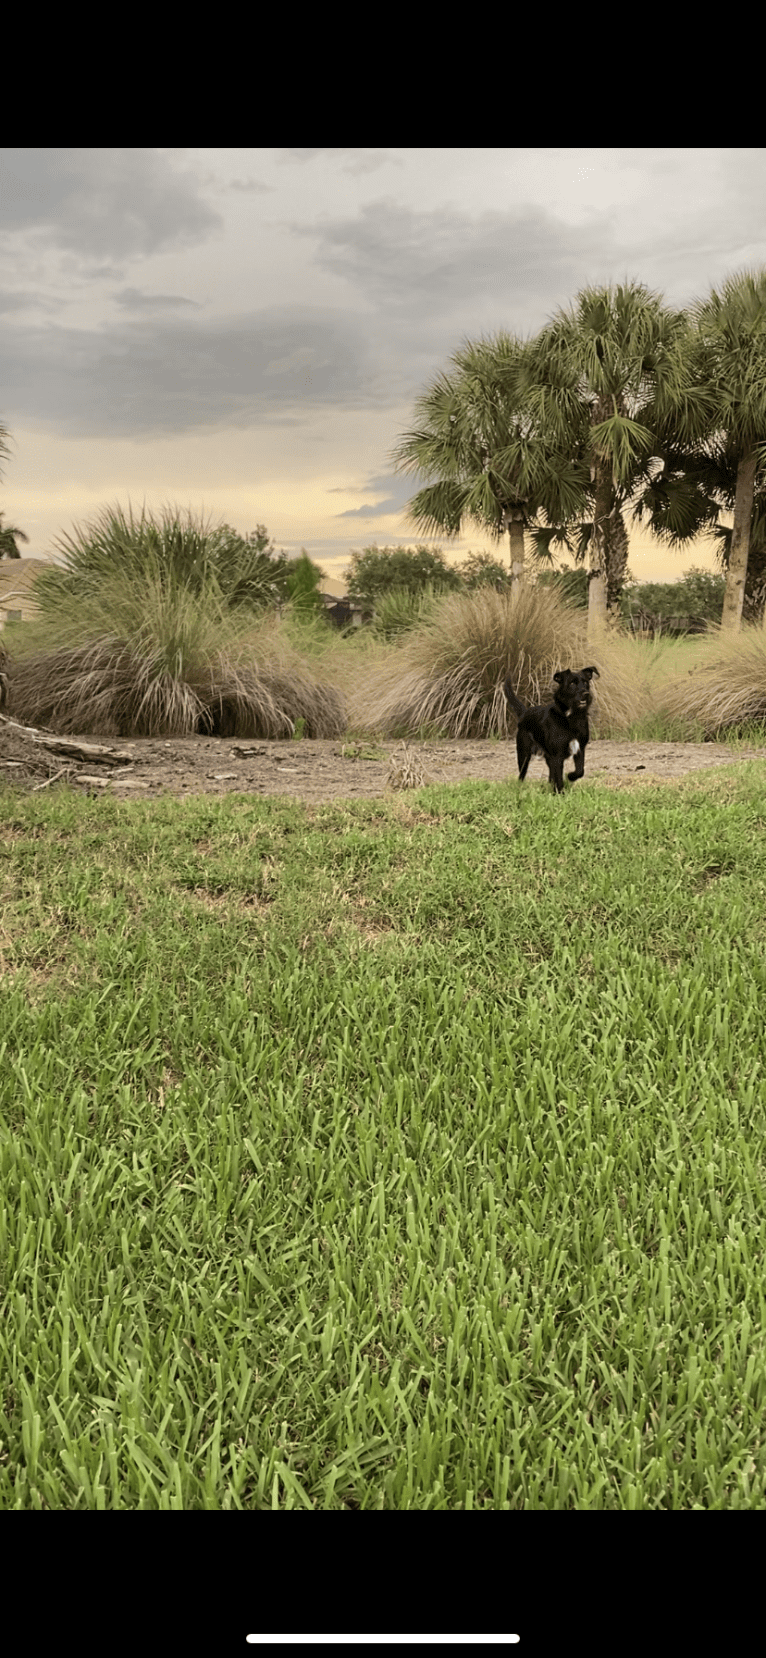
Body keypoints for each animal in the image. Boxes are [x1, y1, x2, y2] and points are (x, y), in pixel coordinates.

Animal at [504, 663, 600, 792]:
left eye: (585, 682)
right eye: (572, 683)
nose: (586, 694)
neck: (571, 717)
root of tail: (525, 712)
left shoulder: (580, 748)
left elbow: (580, 771)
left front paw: (570, 776)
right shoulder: (557, 756)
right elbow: (558, 778)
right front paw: (560, 793)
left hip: (547, 756)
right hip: (524, 753)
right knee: (522, 774)